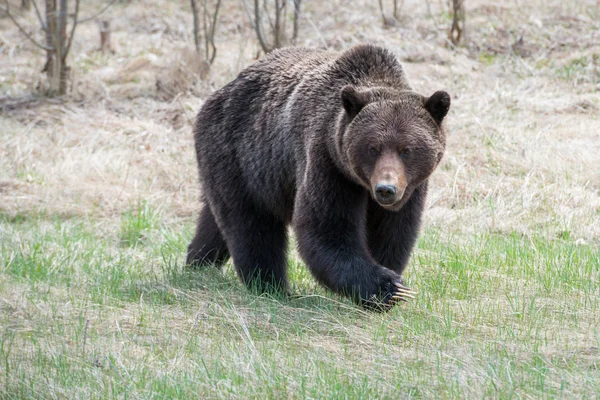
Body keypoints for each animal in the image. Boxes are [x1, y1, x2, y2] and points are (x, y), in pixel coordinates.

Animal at [188, 44, 450, 312]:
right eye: (373, 148)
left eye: (407, 150)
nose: (386, 189)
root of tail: (217, 94)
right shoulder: (328, 163)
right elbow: (326, 228)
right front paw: (386, 287)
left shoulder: (411, 188)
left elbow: (391, 232)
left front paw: (388, 282)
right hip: (241, 156)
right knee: (251, 225)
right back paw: (270, 286)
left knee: (215, 219)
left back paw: (198, 261)